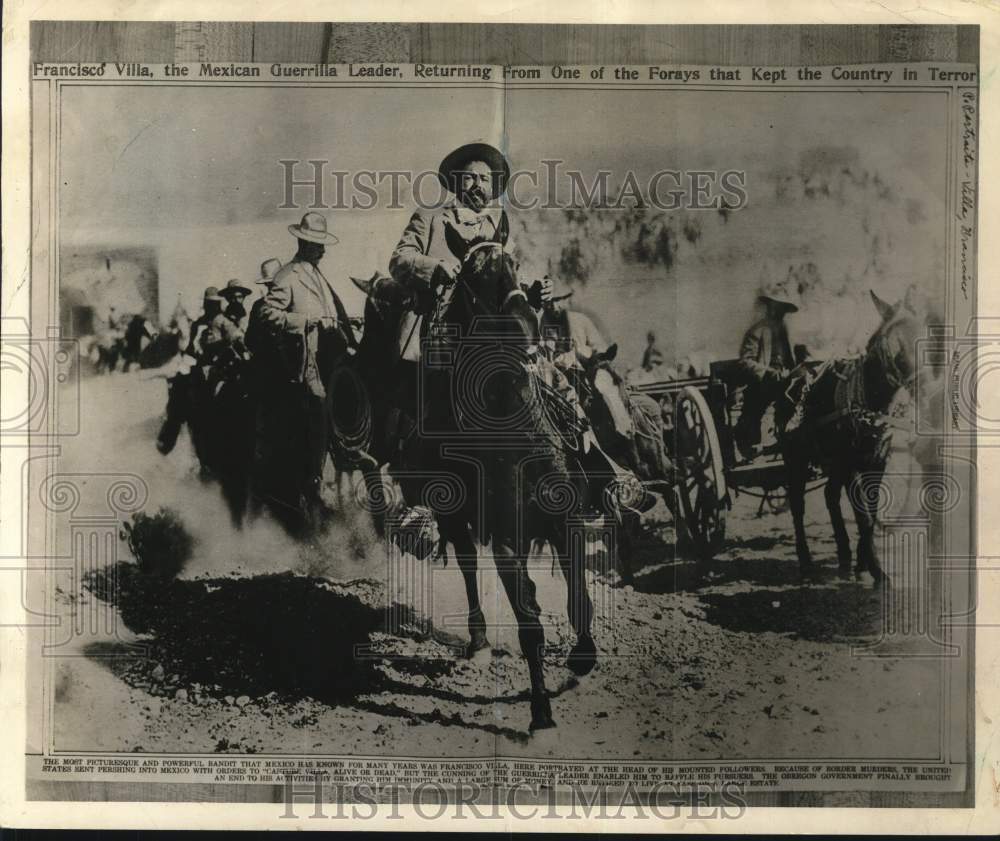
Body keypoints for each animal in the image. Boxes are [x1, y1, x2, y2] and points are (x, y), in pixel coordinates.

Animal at [780, 290, 920, 584]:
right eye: (892, 344)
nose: (920, 383)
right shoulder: (852, 465)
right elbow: (863, 516)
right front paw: (877, 572)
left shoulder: (877, 461)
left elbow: (872, 510)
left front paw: (863, 564)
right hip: (796, 459)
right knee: (798, 504)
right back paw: (806, 562)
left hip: (833, 463)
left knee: (830, 496)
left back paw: (845, 556)